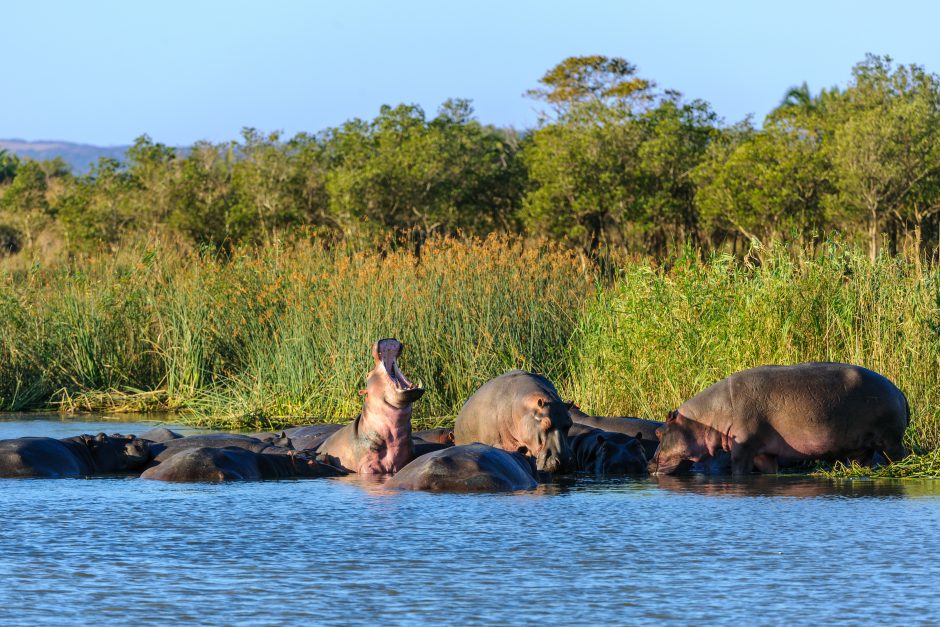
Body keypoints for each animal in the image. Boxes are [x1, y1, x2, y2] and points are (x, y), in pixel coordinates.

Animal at [649, 362, 910, 476]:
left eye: (659, 432)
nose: (649, 463)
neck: (709, 416)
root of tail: (900, 392)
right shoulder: (764, 452)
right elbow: (769, 470)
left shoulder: (743, 447)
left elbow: (738, 469)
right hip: (862, 448)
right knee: (863, 460)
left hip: (890, 441)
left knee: (899, 456)